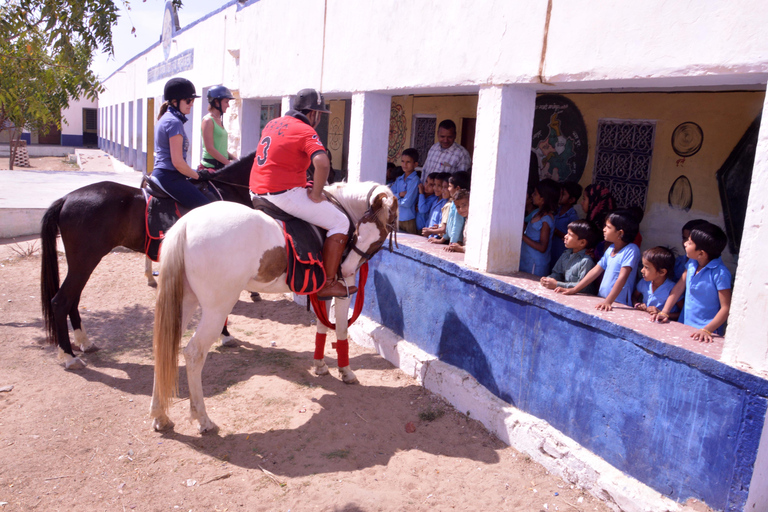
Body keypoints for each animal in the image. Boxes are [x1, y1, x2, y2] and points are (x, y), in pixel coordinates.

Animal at [40, 152, 255, 368]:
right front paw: (225, 335)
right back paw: (69, 356)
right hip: (84, 262)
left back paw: (84, 342)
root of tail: (66, 198)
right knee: (61, 301)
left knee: (73, 299)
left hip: (81, 264)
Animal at [148, 182, 396, 434]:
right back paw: (203, 419)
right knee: (194, 353)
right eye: (362, 233)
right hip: (217, 310)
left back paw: (160, 416)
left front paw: (320, 365)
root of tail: (186, 224)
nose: (346, 269)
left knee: (164, 344)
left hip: (185, 302)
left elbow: (322, 327)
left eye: (378, 238)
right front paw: (346, 371)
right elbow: (342, 329)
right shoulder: (344, 292)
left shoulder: (324, 293)